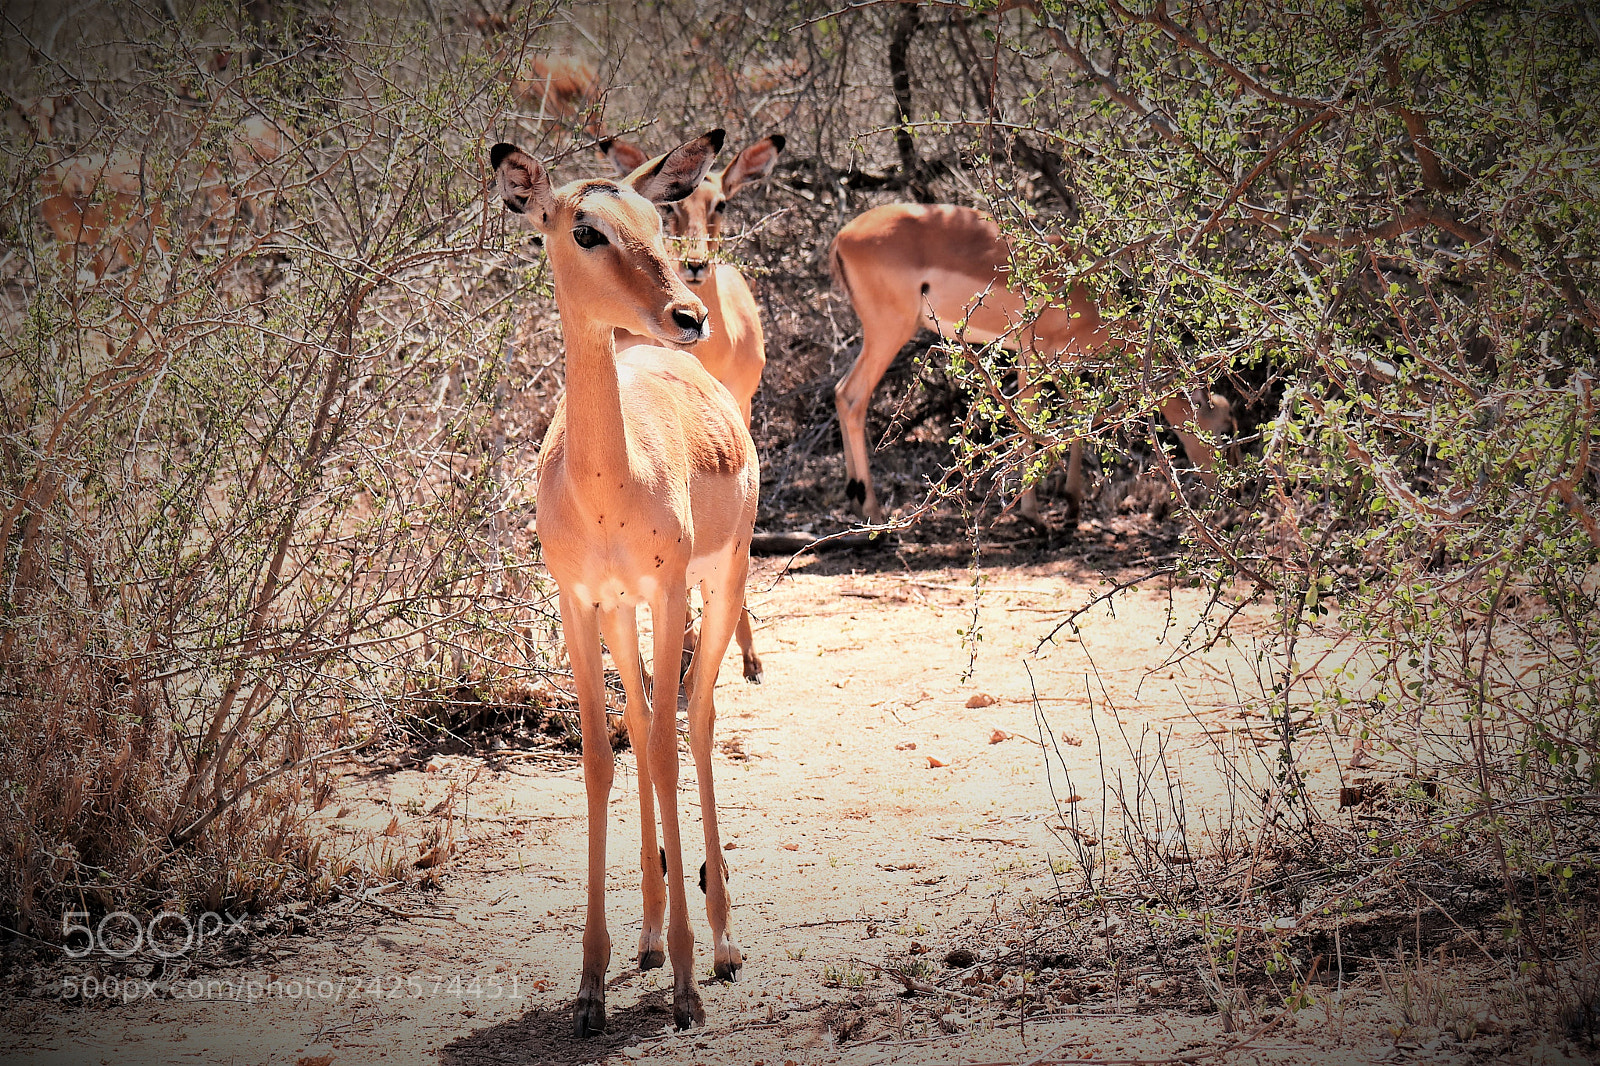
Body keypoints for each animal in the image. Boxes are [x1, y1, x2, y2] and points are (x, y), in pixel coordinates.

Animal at [491, 130, 756, 1036]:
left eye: (655, 218)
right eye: (585, 230)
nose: (687, 314)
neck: (608, 483)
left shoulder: (670, 591)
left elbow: (672, 747)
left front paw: (684, 985)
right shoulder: (578, 605)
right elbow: (603, 758)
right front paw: (590, 985)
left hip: (720, 584)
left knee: (697, 720)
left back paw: (719, 947)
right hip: (621, 614)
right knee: (643, 721)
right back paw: (645, 935)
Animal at [830, 203, 1232, 525]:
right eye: (1226, 429)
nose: (1229, 493)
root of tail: (842, 238)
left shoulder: (1062, 365)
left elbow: (1078, 416)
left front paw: (1071, 504)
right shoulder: (1030, 355)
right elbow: (1030, 422)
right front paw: (1033, 516)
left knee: (839, 392)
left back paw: (856, 502)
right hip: (890, 331)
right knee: (853, 397)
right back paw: (873, 511)